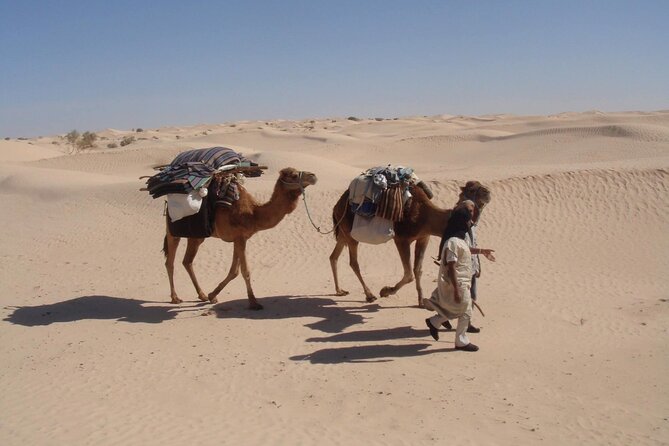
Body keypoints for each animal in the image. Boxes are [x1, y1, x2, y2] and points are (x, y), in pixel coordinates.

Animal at [163, 167, 317, 310]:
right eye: (294, 175)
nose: (313, 176)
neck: (254, 214)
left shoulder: (240, 239)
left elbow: (234, 271)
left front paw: (212, 295)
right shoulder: (240, 238)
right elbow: (245, 271)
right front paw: (254, 302)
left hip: (197, 235)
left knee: (187, 261)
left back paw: (201, 295)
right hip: (173, 231)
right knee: (170, 262)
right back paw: (175, 298)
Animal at [329, 180, 490, 307]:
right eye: (472, 189)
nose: (488, 192)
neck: (427, 217)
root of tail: (336, 206)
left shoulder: (424, 238)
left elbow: (417, 270)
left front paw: (421, 300)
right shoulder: (401, 239)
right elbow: (409, 274)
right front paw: (386, 291)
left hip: (342, 233)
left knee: (333, 256)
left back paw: (339, 290)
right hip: (350, 233)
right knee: (353, 262)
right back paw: (369, 295)